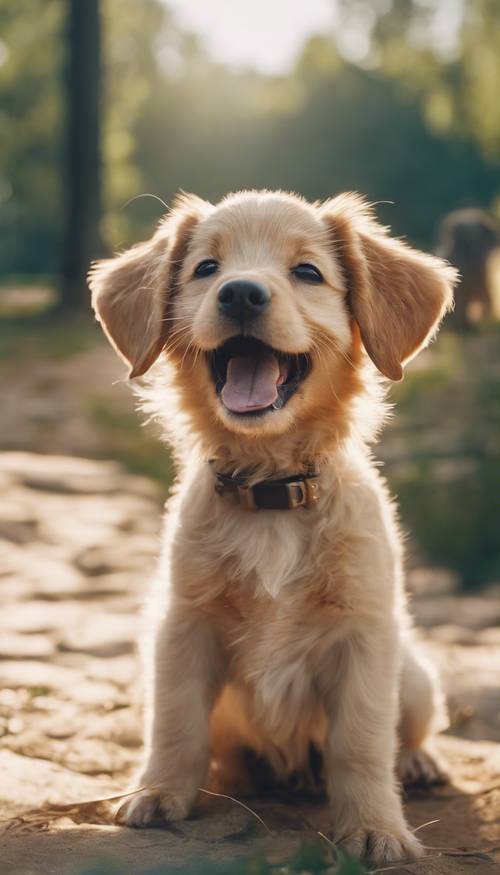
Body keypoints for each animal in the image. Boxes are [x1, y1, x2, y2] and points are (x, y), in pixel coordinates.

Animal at [88, 188, 456, 864]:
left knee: (410, 731)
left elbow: (360, 744)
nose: (240, 294)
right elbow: (175, 723)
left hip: (414, 674)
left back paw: (417, 763)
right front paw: (158, 792)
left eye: (307, 271)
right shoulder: (183, 625)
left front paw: (375, 828)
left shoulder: (365, 635)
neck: (270, 490)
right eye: (206, 269)